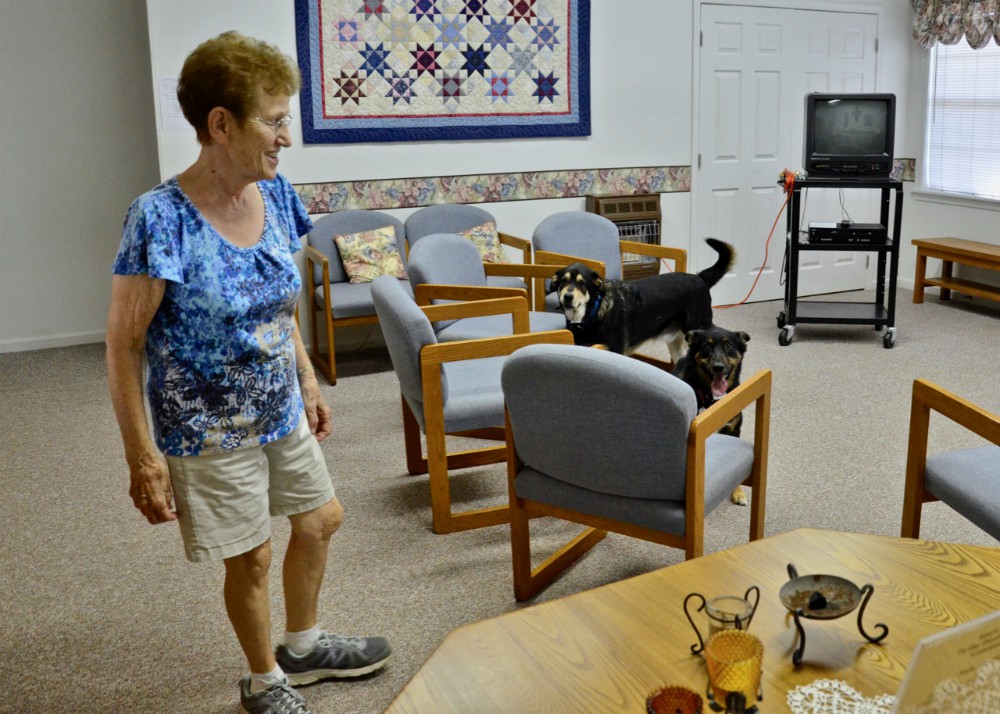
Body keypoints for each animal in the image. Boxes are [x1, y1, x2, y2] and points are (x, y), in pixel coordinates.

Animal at [672, 326, 752, 504]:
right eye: (706, 347)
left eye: (729, 346)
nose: (718, 367)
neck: (713, 399)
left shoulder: (733, 431)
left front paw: (738, 492)